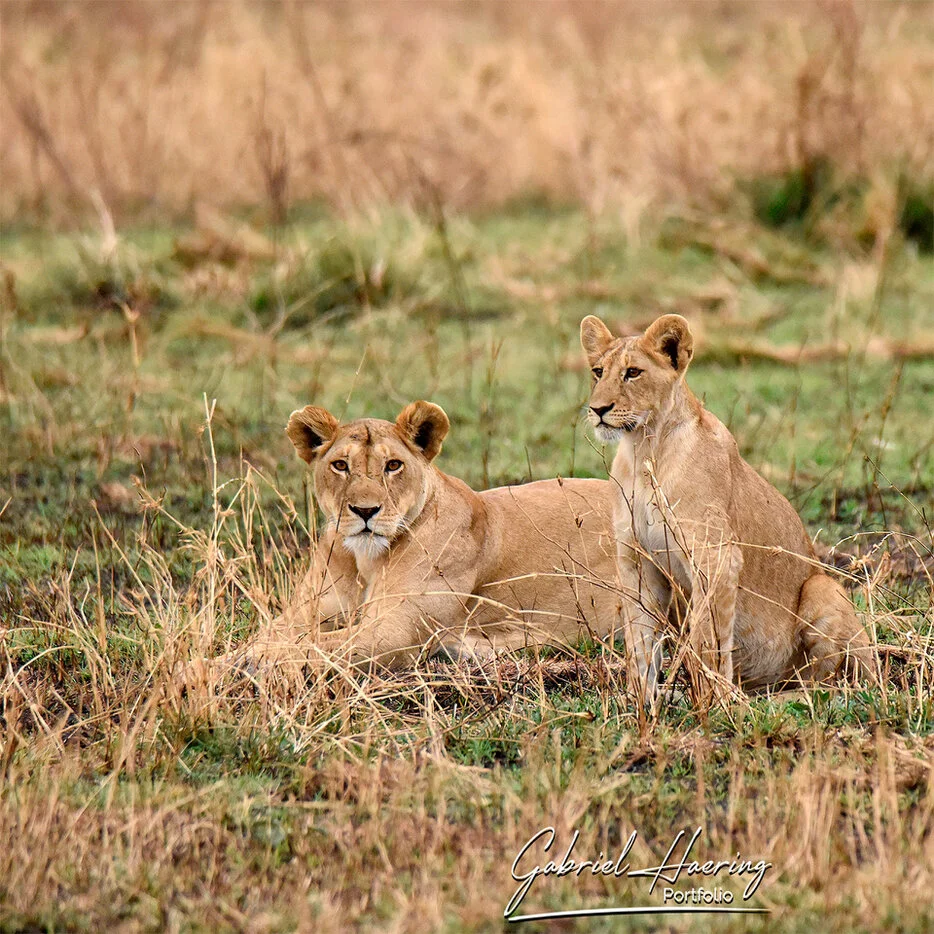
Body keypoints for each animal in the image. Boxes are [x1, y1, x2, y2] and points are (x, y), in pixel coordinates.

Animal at [207, 400, 622, 676]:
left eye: (393, 465)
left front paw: (253, 661)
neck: (365, 560)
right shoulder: (303, 612)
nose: (365, 511)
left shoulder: (392, 633)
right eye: (340, 465)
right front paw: (216, 662)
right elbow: (267, 636)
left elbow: (311, 646)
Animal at [580, 312, 877, 706]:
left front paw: (713, 705)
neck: (644, 449)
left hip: (822, 588)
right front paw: (640, 706)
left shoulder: (716, 557)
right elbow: (639, 643)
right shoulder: (636, 560)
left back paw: (766, 701)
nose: (598, 410)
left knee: (829, 683)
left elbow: (708, 641)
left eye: (633, 372)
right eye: (598, 371)